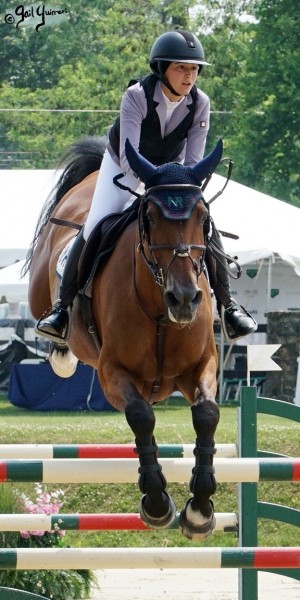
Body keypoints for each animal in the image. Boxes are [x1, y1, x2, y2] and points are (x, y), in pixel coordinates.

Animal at [25, 138, 223, 540]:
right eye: (151, 218)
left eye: (203, 219)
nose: (184, 298)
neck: (160, 311)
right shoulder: (112, 372)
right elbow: (141, 415)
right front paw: (157, 502)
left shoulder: (202, 365)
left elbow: (207, 413)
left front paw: (200, 509)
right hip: (41, 293)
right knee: (56, 331)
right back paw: (60, 348)